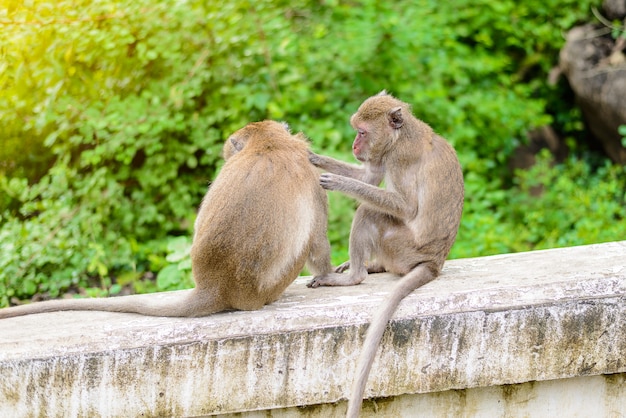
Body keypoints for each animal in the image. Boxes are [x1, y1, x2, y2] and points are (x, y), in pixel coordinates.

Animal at [308, 92, 464, 418]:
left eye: (361, 131)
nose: (355, 146)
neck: (400, 136)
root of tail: (435, 261)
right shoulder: (380, 155)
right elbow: (368, 175)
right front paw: (314, 157)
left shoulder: (399, 157)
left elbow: (405, 206)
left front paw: (340, 183)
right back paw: (372, 267)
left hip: (401, 246)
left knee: (368, 211)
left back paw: (354, 276)